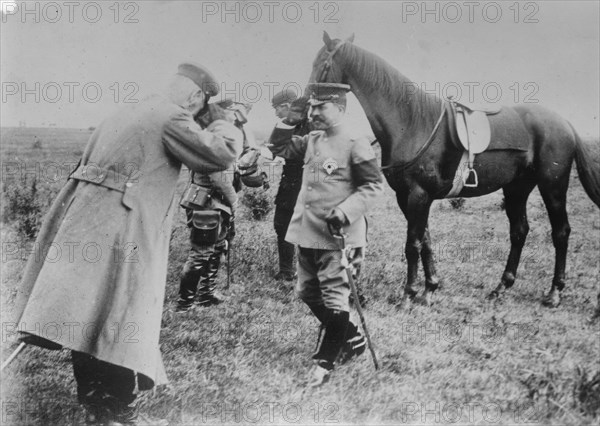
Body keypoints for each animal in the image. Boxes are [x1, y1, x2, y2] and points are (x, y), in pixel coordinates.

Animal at [310, 31, 600, 308]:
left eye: (321, 64)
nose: (309, 107)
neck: (412, 123)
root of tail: (564, 122)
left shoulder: (418, 195)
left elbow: (412, 244)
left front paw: (408, 294)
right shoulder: (407, 197)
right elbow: (425, 240)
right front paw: (429, 289)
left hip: (553, 185)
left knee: (560, 232)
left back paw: (554, 293)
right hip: (517, 188)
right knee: (519, 231)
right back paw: (501, 288)